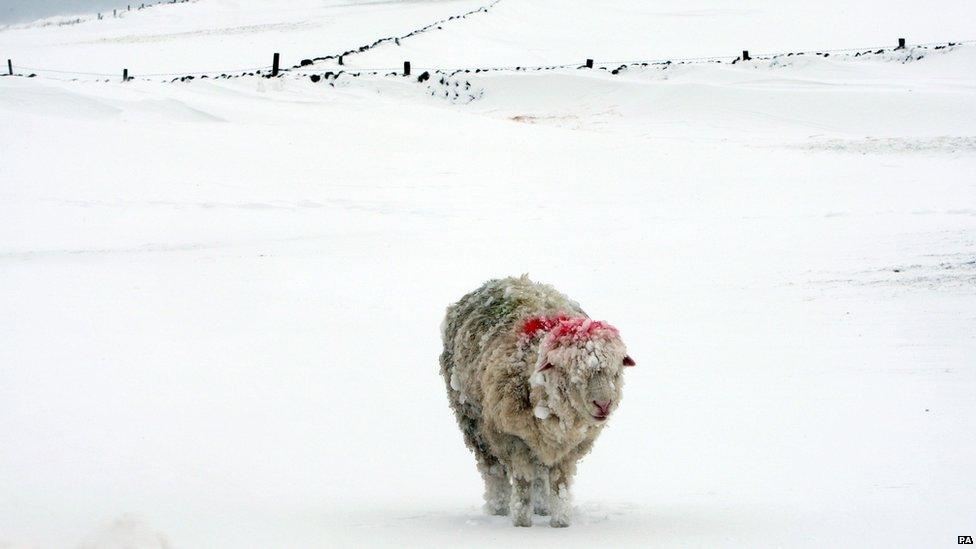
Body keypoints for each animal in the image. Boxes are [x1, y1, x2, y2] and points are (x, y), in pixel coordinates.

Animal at [439, 275, 635, 527]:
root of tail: (500, 279)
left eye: (616, 371)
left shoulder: (570, 445)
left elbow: (560, 483)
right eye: (571, 374)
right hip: (474, 421)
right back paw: (498, 509)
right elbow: (523, 482)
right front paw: (522, 523)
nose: (603, 405)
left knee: (541, 472)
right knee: (494, 471)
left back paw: (542, 507)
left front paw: (560, 522)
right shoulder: (513, 438)